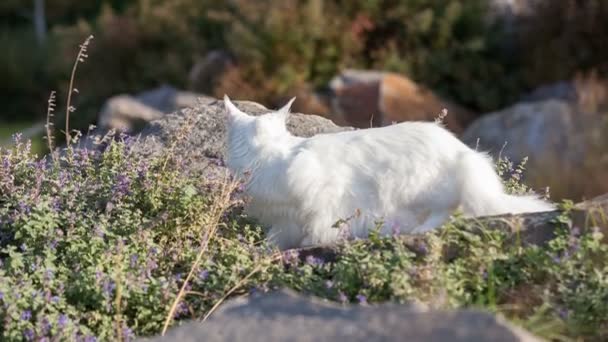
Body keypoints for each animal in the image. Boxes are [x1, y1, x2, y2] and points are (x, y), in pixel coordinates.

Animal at [223, 95, 556, 250]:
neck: (269, 154)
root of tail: (464, 154)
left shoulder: (318, 194)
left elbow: (318, 226)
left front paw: (312, 242)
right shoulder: (283, 218)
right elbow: (276, 237)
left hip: (423, 189)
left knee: (447, 213)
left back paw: (418, 230)